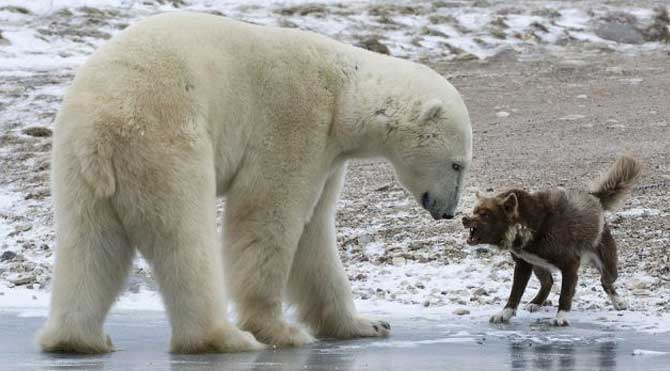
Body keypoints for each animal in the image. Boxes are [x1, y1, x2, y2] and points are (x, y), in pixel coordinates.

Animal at [38, 12, 472, 354]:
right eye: (457, 165)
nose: (448, 212)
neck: (343, 92)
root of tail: (104, 127)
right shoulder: (295, 120)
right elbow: (267, 216)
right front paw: (280, 331)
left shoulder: (329, 155)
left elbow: (315, 235)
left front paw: (368, 324)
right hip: (165, 143)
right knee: (185, 239)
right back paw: (223, 338)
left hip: (78, 164)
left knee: (90, 244)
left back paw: (78, 339)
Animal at [464, 156, 644, 326]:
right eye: (474, 211)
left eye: (485, 214)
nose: (464, 219)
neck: (529, 224)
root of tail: (594, 198)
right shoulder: (523, 264)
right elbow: (515, 294)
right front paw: (505, 314)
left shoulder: (570, 263)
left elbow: (565, 294)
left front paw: (561, 317)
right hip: (538, 264)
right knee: (548, 282)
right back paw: (536, 302)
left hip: (607, 264)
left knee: (606, 280)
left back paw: (618, 301)